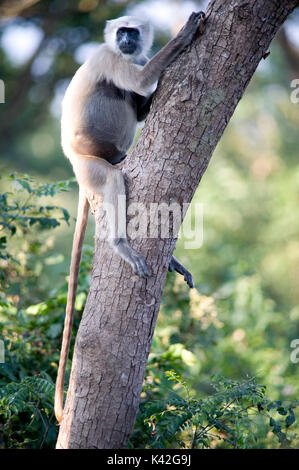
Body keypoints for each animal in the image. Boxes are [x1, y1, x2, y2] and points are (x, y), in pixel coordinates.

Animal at [55, 11, 205, 424]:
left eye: (131, 33)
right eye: (121, 32)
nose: (124, 41)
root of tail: (74, 162)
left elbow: (139, 96)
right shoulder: (109, 58)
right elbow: (136, 80)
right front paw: (185, 32)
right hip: (90, 166)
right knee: (112, 175)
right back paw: (120, 242)